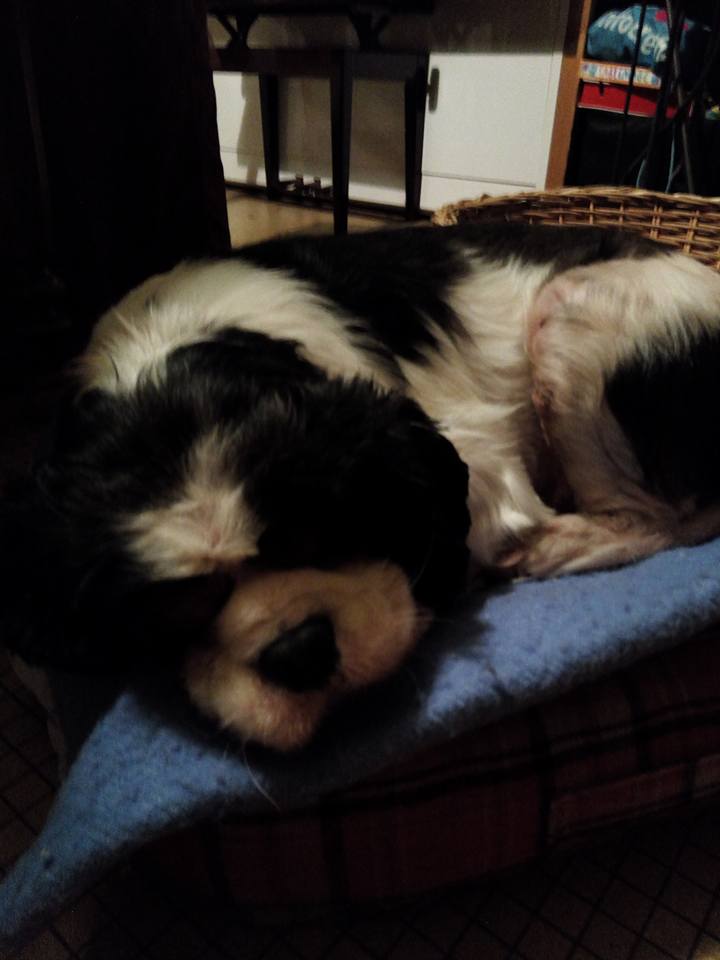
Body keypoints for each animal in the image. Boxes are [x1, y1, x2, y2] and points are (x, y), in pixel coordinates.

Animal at [3, 221, 720, 750]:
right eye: (174, 612)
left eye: (327, 532)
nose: (298, 650)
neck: (179, 355)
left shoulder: (478, 457)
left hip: (571, 306)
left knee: (656, 521)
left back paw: (551, 548)